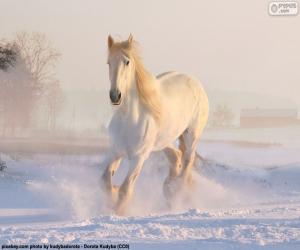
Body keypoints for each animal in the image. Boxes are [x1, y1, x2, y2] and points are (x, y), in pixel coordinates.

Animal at [101, 34, 209, 215]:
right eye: (108, 62)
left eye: (127, 61)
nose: (115, 96)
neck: (129, 119)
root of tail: (195, 82)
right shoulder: (116, 151)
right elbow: (105, 180)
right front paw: (112, 197)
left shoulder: (138, 157)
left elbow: (125, 190)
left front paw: (118, 212)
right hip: (164, 141)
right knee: (176, 156)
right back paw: (169, 189)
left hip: (191, 136)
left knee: (187, 161)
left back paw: (177, 193)